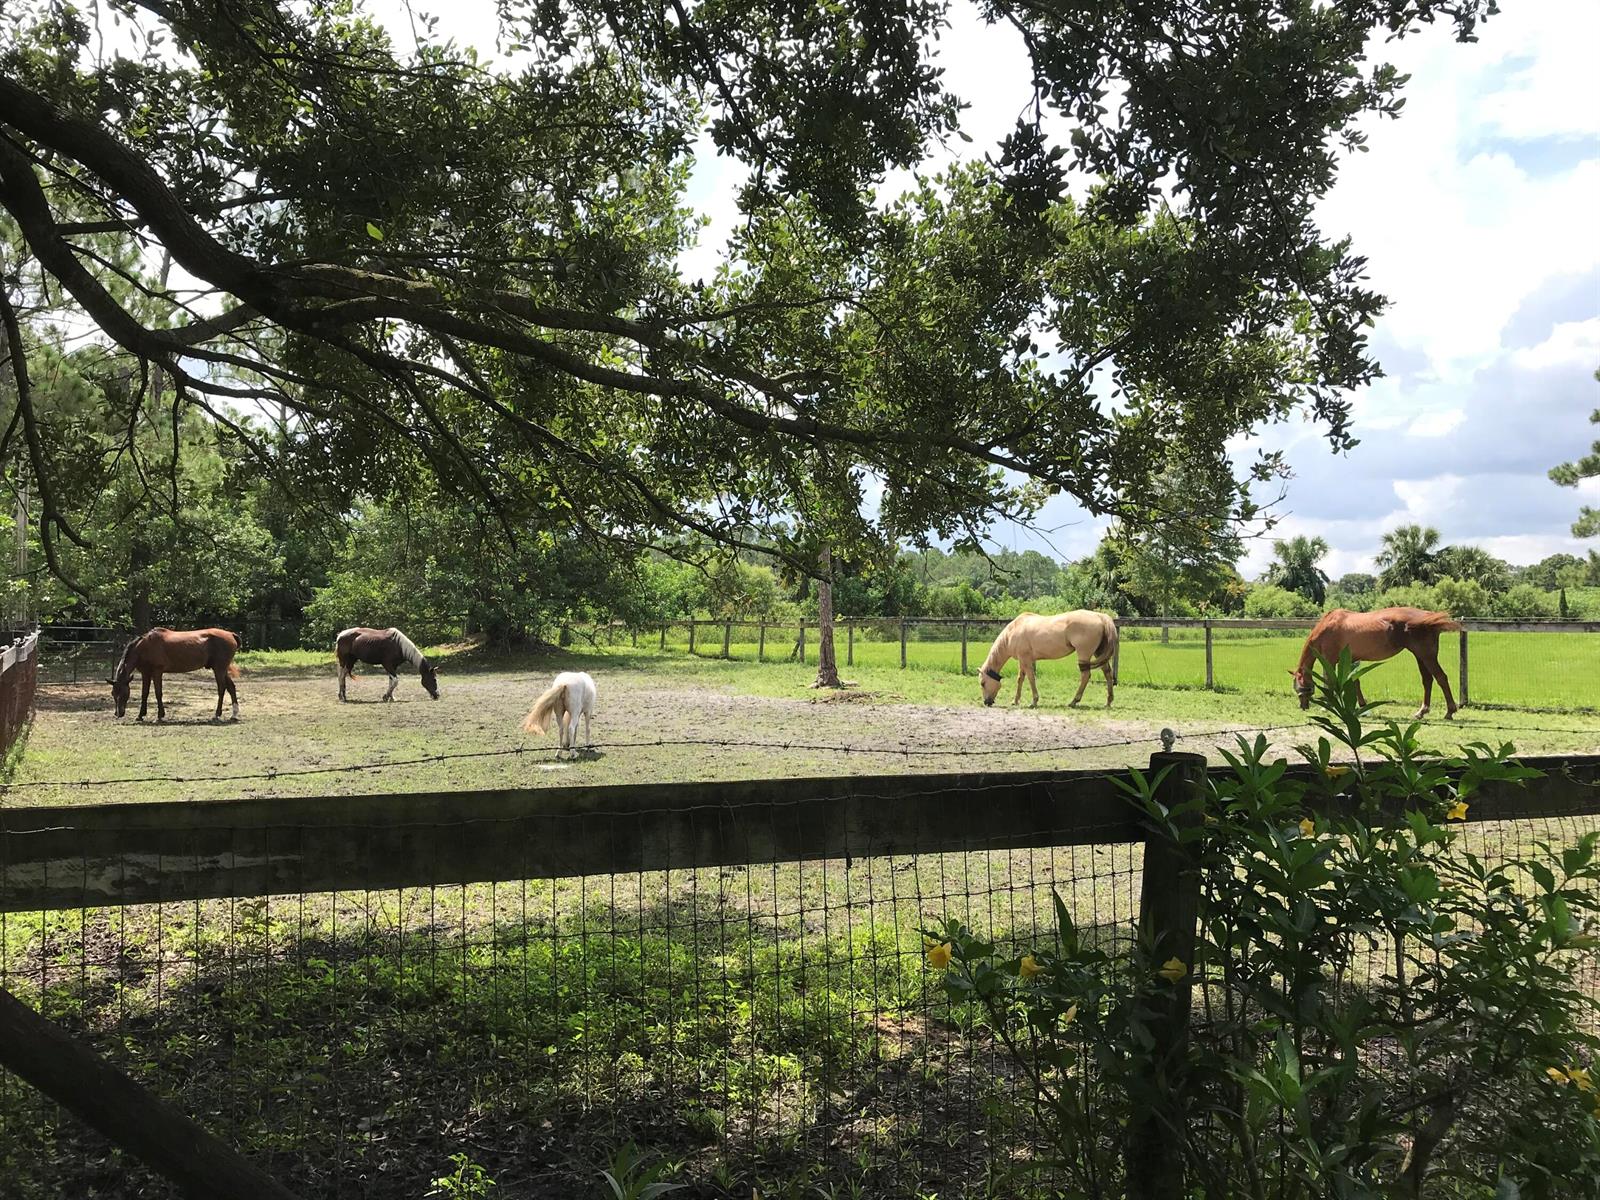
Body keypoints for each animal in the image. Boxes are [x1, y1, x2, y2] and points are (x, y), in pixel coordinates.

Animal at [109, 627, 240, 722]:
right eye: (113, 693)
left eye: (124, 693)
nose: (118, 713)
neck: (145, 647)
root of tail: (231, 634)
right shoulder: (145, 673)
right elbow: (144, 694)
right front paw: (140, 716)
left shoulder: (157, 672)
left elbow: (158, 693)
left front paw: (160, 716)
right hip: (221, 669)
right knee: (231, 687)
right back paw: (234, 715)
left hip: (219, 669)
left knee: (222, 689)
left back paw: (217, 715)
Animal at [979, 610, 1120, 709]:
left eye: (983, 683)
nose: (986, 702)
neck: (1013, 631)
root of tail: (1100, 616)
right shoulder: (1023, 661)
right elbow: (1020, 679)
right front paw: (1015, 701)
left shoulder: (1026, 660)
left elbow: (1031, 679)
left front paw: (1034, 701)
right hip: (1099, 653)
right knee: (1107, 673)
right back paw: (1108, 701)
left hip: (1084, 654)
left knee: (1085, 675)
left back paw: (1074, 701)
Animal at [1291, 607, 1463, 719]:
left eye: (1299, 686)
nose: (1303, 706)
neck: (1328, 626)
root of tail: (1428, 616)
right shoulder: (1351, 660)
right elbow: (1355, 682)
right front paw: (1363, 707)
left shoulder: (1330, 660)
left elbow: (1330, 682)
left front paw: (1327, 706)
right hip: (1420, 656)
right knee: (1427, 680)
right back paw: (1421, 712)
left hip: (1426, 656)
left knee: (1441, 678)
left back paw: (1449, 711)